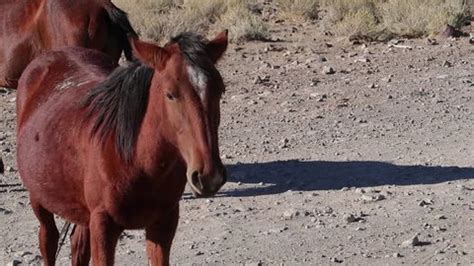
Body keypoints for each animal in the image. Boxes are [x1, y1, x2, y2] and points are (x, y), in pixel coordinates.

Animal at [15, 31, 229, 266]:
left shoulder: (163, 223)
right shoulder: (103, 226)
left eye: (220, 90)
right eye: (170, 94)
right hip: (38, 198)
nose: (209, 176)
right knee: (49, 240)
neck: (135, 159)